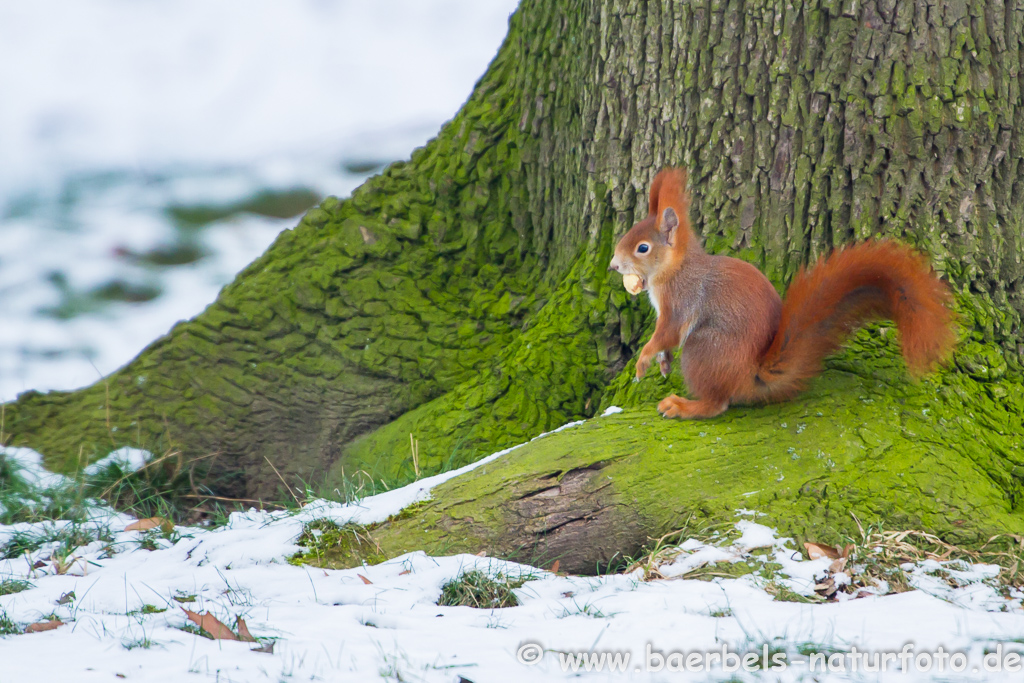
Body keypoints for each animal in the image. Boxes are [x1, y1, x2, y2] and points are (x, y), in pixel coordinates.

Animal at [606, 167, 950, 419]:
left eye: (642, 248)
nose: (612, 265)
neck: (672, 270)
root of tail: (751, 375)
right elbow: (664, 340)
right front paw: (662, 362)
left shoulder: (681, 301)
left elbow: (668, 333)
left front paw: (644, 360)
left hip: (703, 349)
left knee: (718, 404)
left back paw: (683, 406)